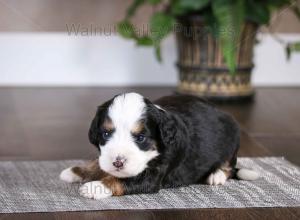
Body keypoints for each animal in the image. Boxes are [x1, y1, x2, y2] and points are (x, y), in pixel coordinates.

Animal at [59, 92, 258, 199]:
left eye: (140, 138)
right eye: (106, 134)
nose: (118, 163)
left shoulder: (154, 175)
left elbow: (122, 180)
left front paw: (95, 186)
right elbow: (99, 162)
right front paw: (76, 171)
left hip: (232, 140)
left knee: (229, 167)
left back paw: (216, 175)